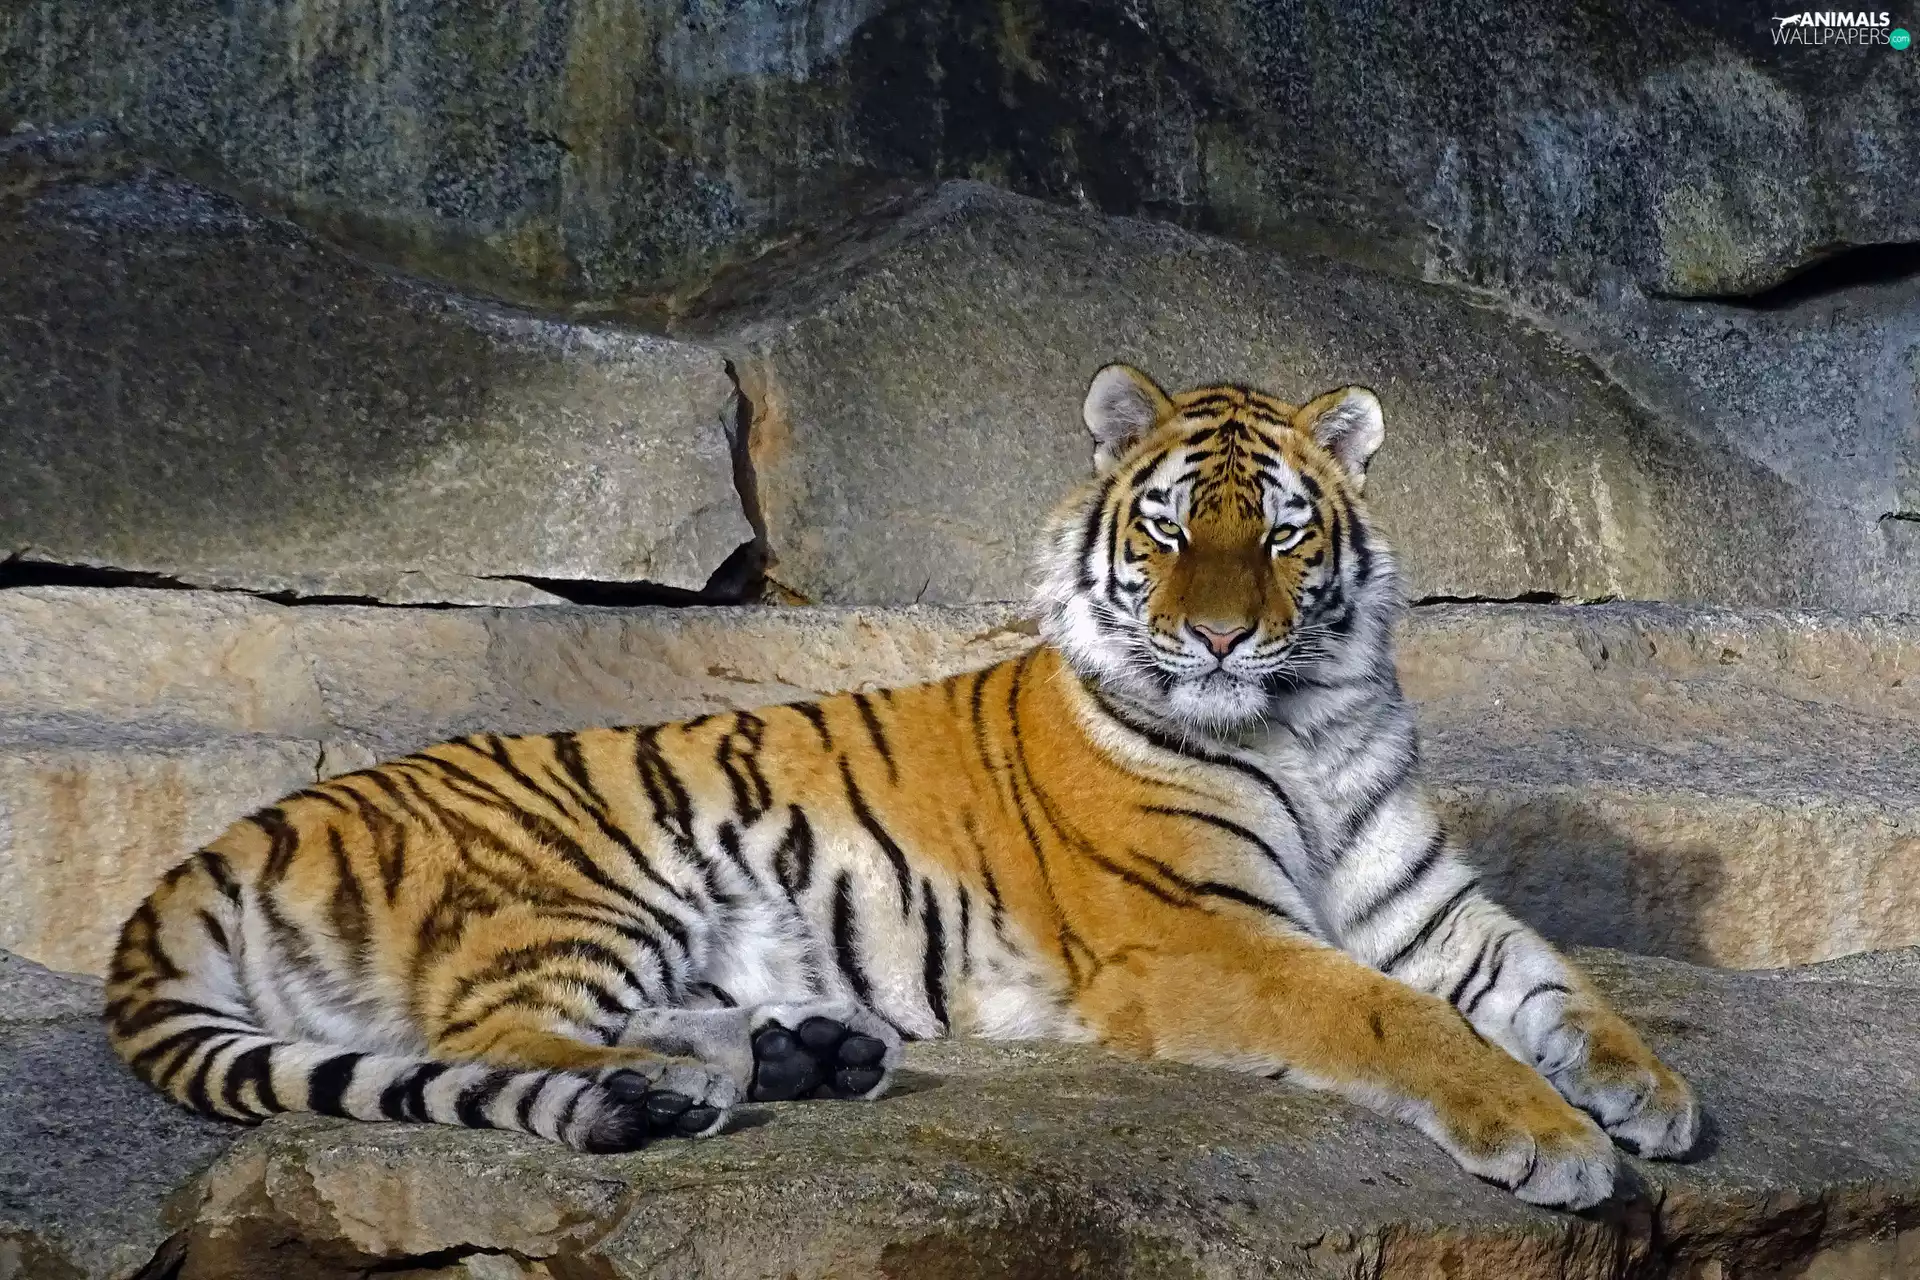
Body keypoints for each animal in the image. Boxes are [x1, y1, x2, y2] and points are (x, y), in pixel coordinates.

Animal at [105, 364, 1698, 1209]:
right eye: (1173, 530)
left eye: (1286, 535)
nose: (1218, 635)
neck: (1303, 722)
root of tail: (230, 837)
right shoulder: (1203, 933)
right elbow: (1399, 1019)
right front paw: (1552, 1138)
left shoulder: (1425, 906)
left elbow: (1553, 982)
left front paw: (1651, 1095)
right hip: (578, 882)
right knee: (489, 1034)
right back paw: (690, 1082)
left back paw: (805, 1051)